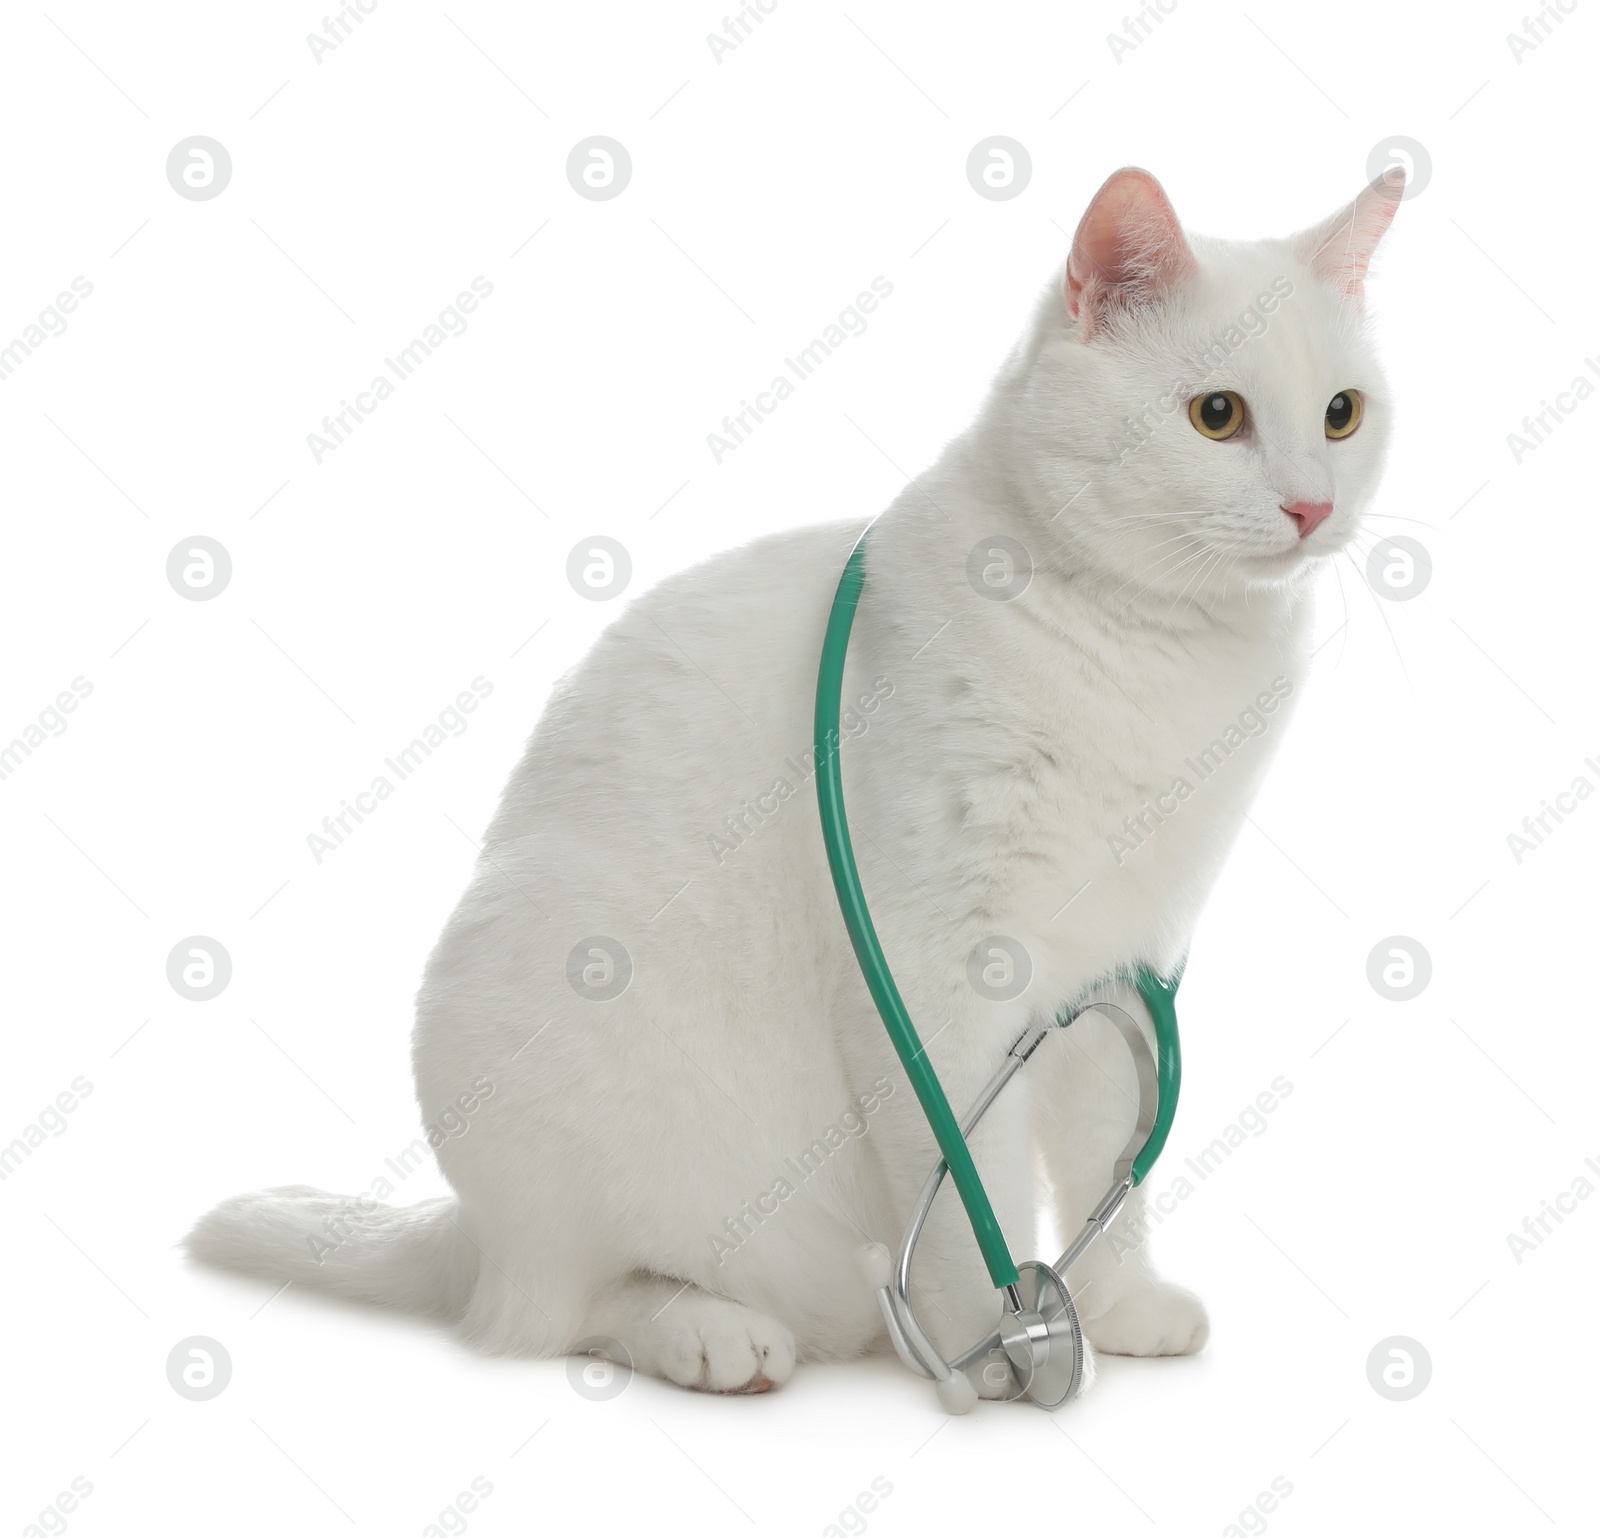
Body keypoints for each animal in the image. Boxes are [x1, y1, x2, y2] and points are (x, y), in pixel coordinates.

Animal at [187, 164, 1401, 1395]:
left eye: (1341, 415)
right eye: (1218, 416)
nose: (1313, 506)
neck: (1157, 650)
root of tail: (469, 1234)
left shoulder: (1124, 966)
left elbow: (1116, 1163)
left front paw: (1110, 1309)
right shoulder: (939, 971)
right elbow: (973, 1192)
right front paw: (997, 1339)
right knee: (566, 1306)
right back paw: (714, 1334)